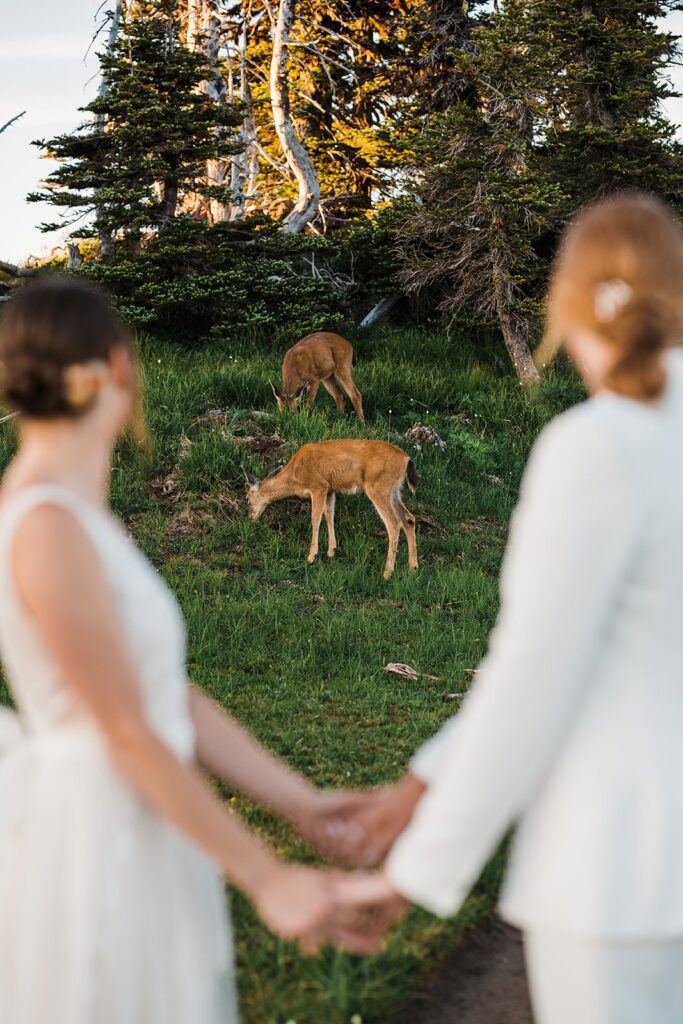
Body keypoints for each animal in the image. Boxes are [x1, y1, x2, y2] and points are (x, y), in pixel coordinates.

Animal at [242, 440, 419, 581]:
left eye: (247, 499)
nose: (250, 517)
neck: (294, 476)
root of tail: (406, 459)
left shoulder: (318, 486)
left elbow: (315, 518)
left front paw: (311, 556)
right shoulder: (330, 489)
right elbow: (329, 514)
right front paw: (331, 550)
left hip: (378, 486)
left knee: (394, 523)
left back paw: (387, 573)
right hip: (394, 490)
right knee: (409, 518)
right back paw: (413, 567)